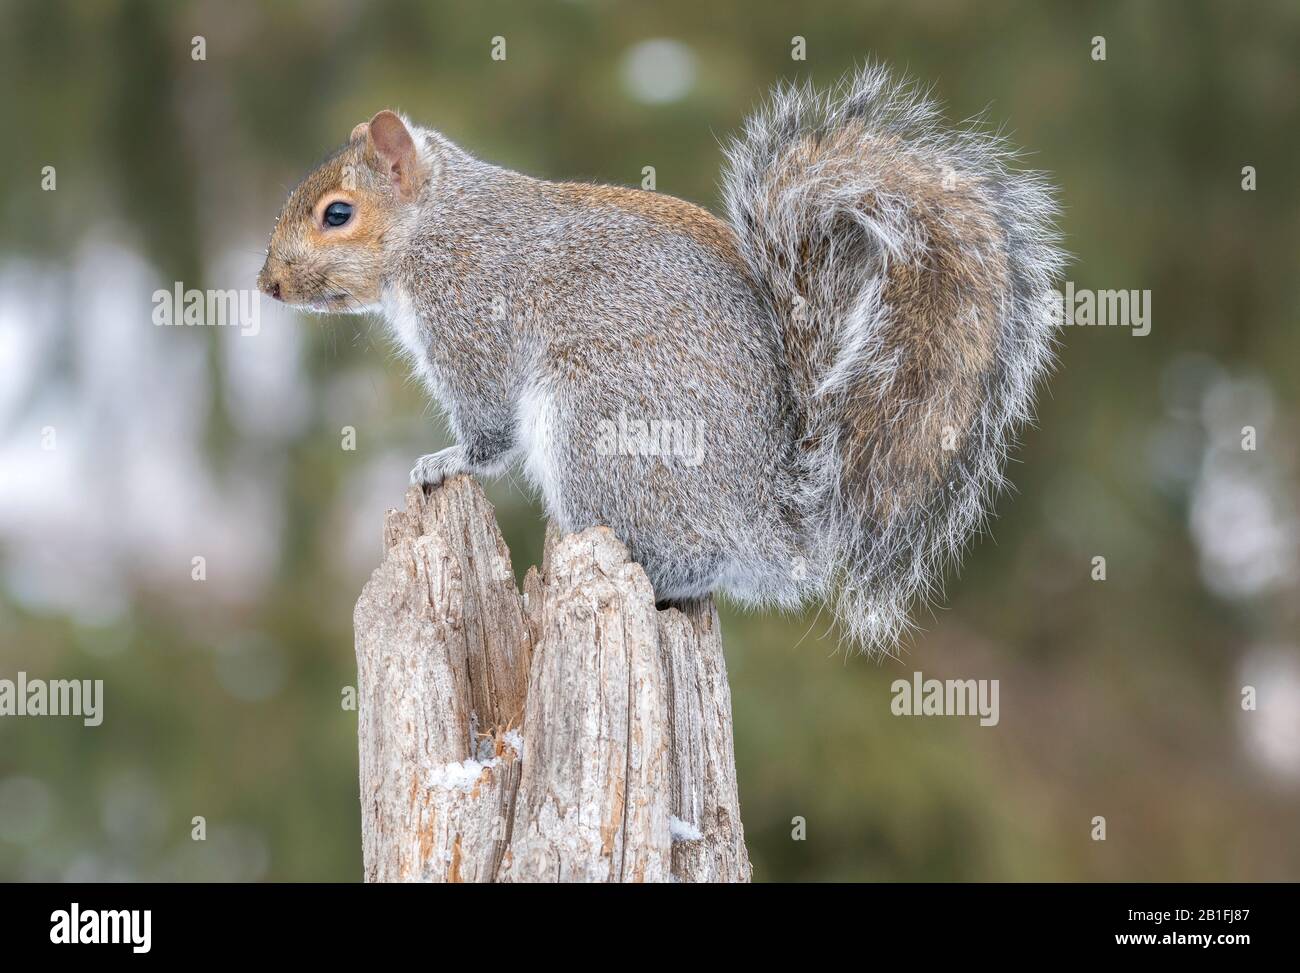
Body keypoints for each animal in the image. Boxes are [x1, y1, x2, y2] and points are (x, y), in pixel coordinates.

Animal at [258, 64, 1064, 654]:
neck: (436, 225)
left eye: (338, 214)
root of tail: (773, 528)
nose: (267, 284)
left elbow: (489, 432)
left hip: (599, 424)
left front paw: (443, 461)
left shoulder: (472, 321)